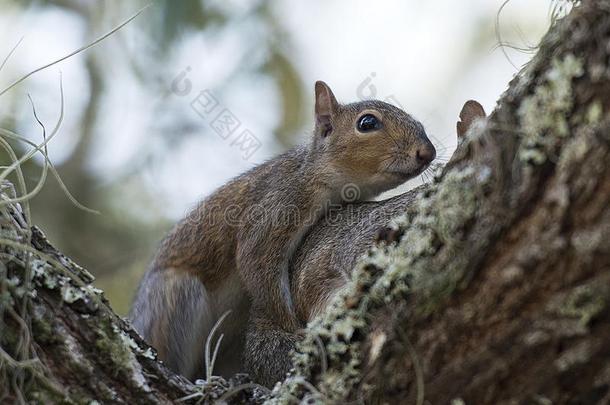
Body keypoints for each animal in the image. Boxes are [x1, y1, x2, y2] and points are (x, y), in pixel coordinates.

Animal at [128, 79, 434, 386]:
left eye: (420, 124)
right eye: (367, 123)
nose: (427, 152)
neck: (320, 177)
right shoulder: (276, 206)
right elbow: (257, 265)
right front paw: (294, 330)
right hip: (173, 300)